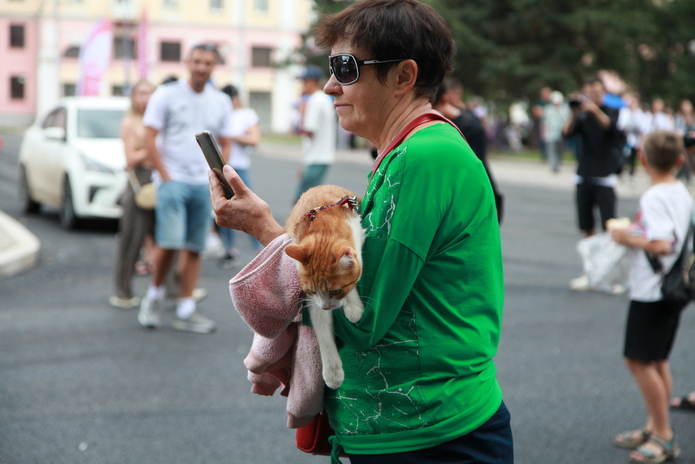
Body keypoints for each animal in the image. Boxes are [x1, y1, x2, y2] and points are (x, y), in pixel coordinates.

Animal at [286, 184, 368, 388]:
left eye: (336, 291)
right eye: (311, 290)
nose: (326, 306)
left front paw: (353, 307)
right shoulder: (313, 301)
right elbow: (322, 331)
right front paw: (332, 372)